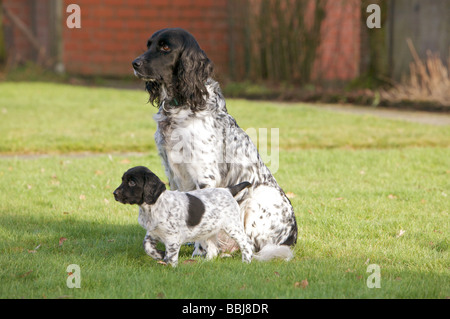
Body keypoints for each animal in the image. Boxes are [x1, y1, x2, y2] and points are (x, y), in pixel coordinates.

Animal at [113, 166, 253, 268]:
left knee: (246, 244)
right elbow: (147, 247)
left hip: (232, 226)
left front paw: (170, 267)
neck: (154, 206)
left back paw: (246, 262)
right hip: (209, 229)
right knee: (213, 249)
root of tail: (228, 190)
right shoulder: (152, 233)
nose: (114, 193)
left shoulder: (172, 237)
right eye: (122, 180)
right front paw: (159, 255)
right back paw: (205, 263)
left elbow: (171, 255)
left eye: (132, 182)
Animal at [132, 27, 298, 262]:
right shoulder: (172, 173)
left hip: (261, 196)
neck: (182, 105)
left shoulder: (206, 177)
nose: (134, 63)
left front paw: (200, 253)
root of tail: (291, 237)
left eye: (165, 47)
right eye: (149, 45)